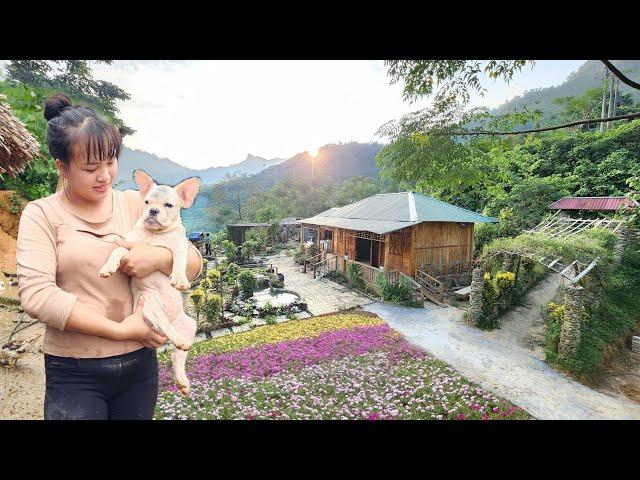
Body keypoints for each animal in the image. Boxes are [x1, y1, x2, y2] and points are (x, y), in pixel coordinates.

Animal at [100, 171, 201, 396]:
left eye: (169, 205)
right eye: (146, 202)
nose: (153, 211)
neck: (155, 234)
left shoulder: (180, 244)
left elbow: (180, 258)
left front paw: (179, 279)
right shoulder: (129, 246)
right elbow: (117, 251)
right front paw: (107, 267)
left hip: (189, 324)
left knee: (177, 355)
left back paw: (182, 377)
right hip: (150, 302)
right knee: (164, 325)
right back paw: (176, 339)